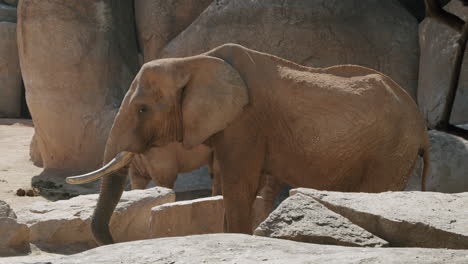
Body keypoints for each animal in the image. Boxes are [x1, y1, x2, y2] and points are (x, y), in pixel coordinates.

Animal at [66, 42, 428, 245]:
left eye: (142, 109)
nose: (111, 240)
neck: (194, 60)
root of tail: (421, 124)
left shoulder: (245, 122)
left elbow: (238, 186)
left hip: (392, 151)